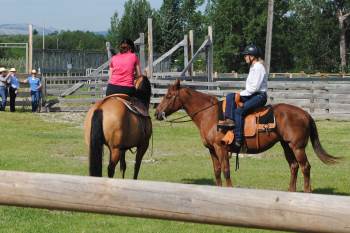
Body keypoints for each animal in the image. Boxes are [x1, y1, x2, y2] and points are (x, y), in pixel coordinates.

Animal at [154, 79, 338, 192]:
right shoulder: (212, 150)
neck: (210, 115)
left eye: (169, 96)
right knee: (294, 166)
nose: (157, 113)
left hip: (297, 147)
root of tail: (305, 114)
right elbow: (217, 171)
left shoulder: (221, 148)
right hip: (286, 145)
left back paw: (307, 191)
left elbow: (226, 171)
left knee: (305, 167)